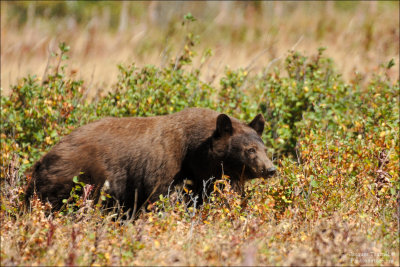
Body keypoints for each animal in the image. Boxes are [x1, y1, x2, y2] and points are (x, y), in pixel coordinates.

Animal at [25, 108, 276, 215]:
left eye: (265, 149)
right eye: (250, 150)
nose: (270, 169)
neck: (193, 152)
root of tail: (41, 161)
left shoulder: (206, 179)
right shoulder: (163, 168)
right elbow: (159, 198)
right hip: (73, 180)